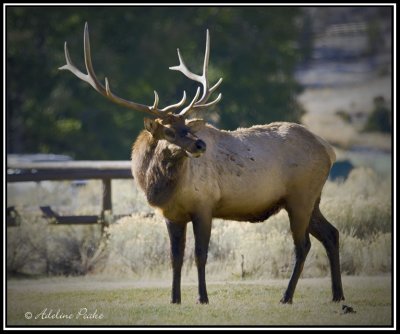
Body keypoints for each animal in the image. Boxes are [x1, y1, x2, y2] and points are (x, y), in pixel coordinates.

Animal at [59, 22, 344, 306]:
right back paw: (337, 294)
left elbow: (200, 254)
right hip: (309, 199)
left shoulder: (204, 205)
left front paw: (202, 297)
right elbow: (174, 258)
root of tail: (328, 150)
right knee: (331, 234)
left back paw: (287, 296)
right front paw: (174, 299)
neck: (159, 187)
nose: (200, 145)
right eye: (169, 131)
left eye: (187, 126)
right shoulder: (171, 215)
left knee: (303, 245)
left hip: (300, 196)